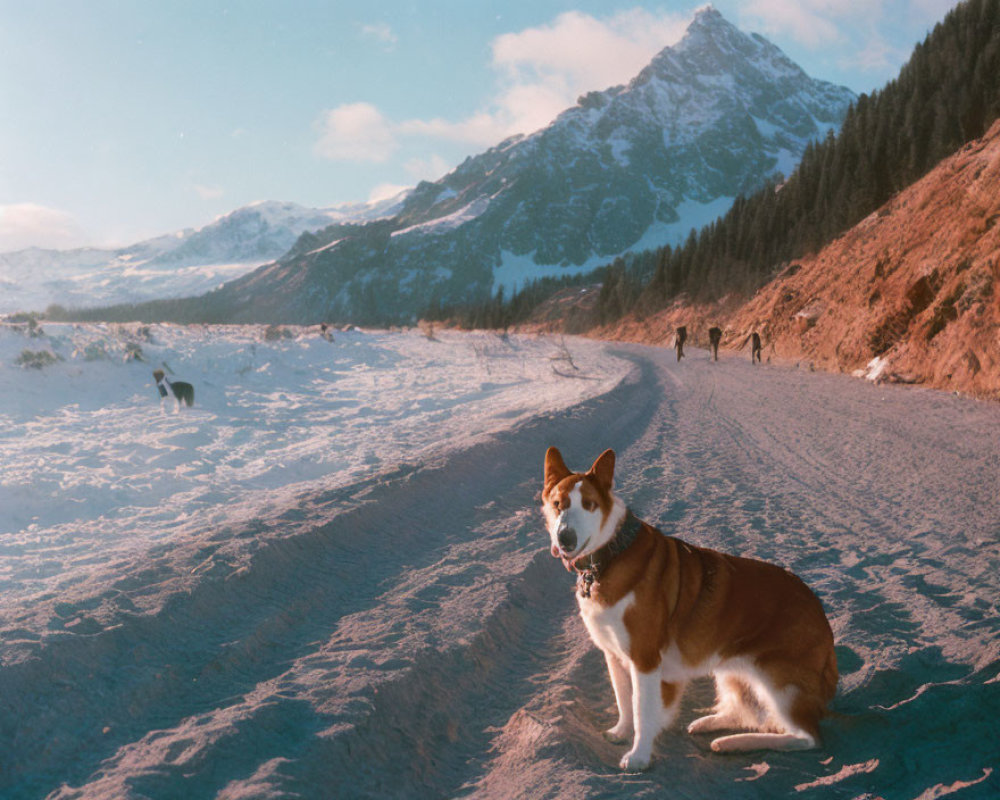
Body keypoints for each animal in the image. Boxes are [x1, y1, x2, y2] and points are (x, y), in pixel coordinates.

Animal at [540, 446, 836, 772]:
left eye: (589, 505)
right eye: (557, 504)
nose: (565, 538)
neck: (609, 555)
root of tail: (822, 618)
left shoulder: (644, 659)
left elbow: (642, 711)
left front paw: (639, 756)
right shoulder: (614, 655)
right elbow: (624, 701)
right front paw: (621, 731)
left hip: (776, 679)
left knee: (806, 737)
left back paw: (736, 743)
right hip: (730, 668)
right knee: (744, 712)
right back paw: (714, 729)